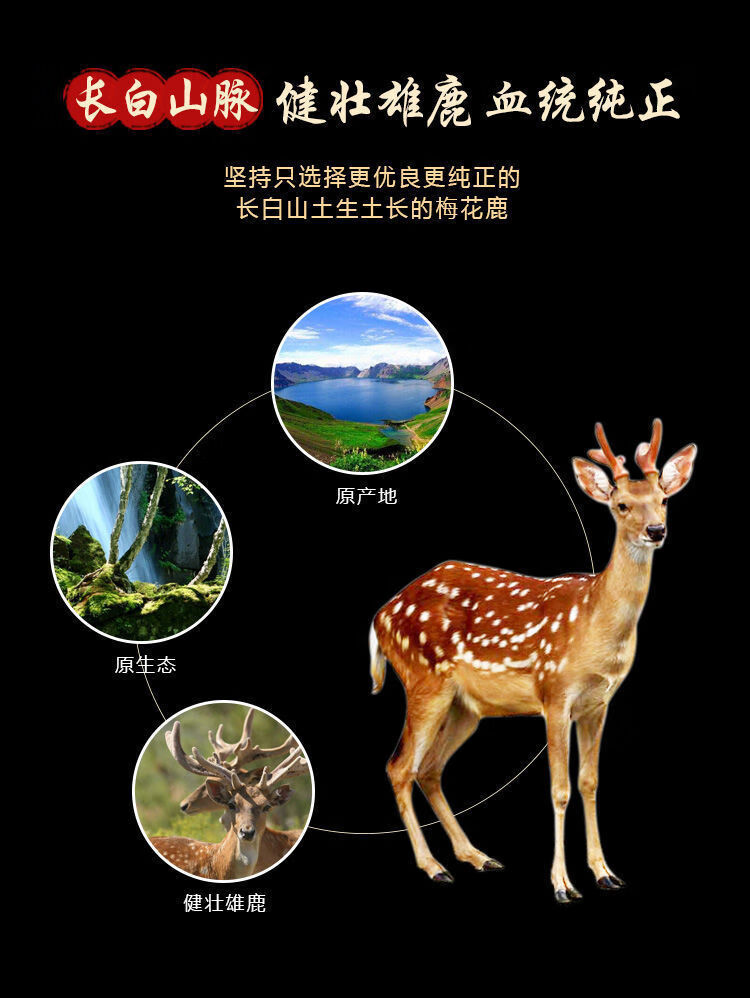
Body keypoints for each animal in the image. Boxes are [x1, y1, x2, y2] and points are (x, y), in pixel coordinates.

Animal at [370, 419, 696, 901]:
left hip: (467, 707)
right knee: (399, 767)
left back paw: (477, 856)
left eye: (664, 499)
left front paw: (604, 872)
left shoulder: (599, 702)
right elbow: (559, 789)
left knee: (429, 769)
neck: (595, 623)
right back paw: (434, 867)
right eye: (621, 505)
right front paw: (562, 884)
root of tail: (381, 615)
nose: (656, 530)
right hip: (423, 681)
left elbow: (590, 783)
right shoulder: (554, 692)